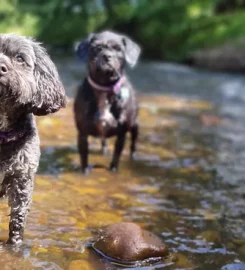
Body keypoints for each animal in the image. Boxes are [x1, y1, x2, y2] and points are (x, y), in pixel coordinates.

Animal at [73, 30, 141, 173]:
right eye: (96, 48)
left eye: (118, 49)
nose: (106, 56)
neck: (104, 87)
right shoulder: (82, 131)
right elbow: (84, 155)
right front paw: (85, 171)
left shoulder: (121, 133)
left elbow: (117, 154)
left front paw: (113, 169)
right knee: (103, 140)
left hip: (135, 125)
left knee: (133, 143)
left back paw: (133, 155)